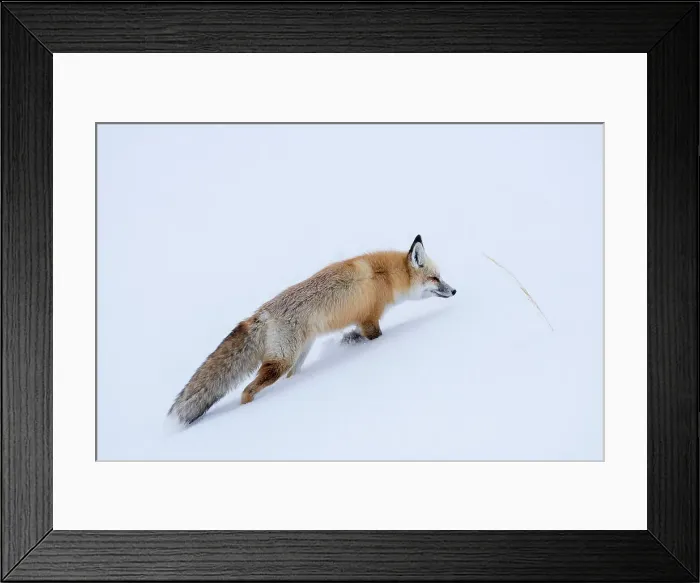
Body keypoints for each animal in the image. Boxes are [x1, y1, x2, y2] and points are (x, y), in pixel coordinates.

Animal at [168, 234, 456, 424]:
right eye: (435, 278)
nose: (453, 290)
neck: (384, 276)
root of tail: (261, 313)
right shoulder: (369, 320)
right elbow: (372, 337)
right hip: (281, 362)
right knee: (247, 390)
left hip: (299, 356)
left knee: (289, 377)